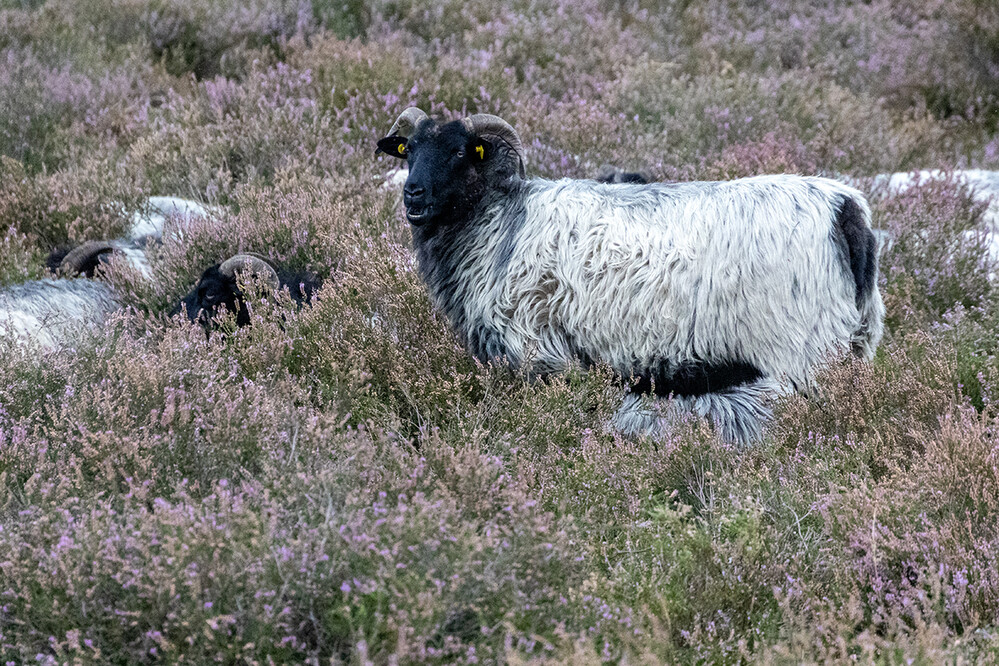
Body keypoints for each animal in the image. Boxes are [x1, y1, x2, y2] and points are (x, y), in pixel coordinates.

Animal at [378, 107, 888, 440]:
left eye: (462, 151)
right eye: (409, 150)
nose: (413, 194)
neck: (499, 221)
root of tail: (845, 209)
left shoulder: (539, 354)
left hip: (798, 353)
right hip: (854, 344)